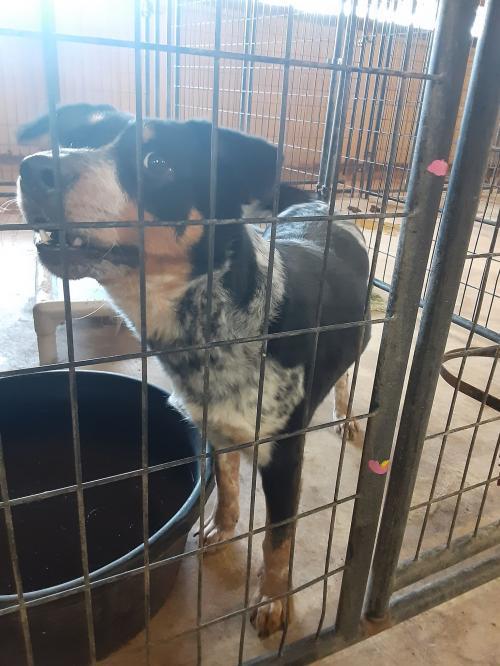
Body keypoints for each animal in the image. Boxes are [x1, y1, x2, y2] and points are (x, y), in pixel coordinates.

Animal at [17, 104, 370, 640]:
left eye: (158, 163)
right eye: (78, 139)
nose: (33, 169)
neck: (218, 326)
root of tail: (319, 205)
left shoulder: (285, 456)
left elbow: (278, 540)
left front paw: (274, 601)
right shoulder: (213, 426)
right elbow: (225, 486)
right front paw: (222, 529)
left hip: (365, 334)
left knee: (349, 374)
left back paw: (348, 415)